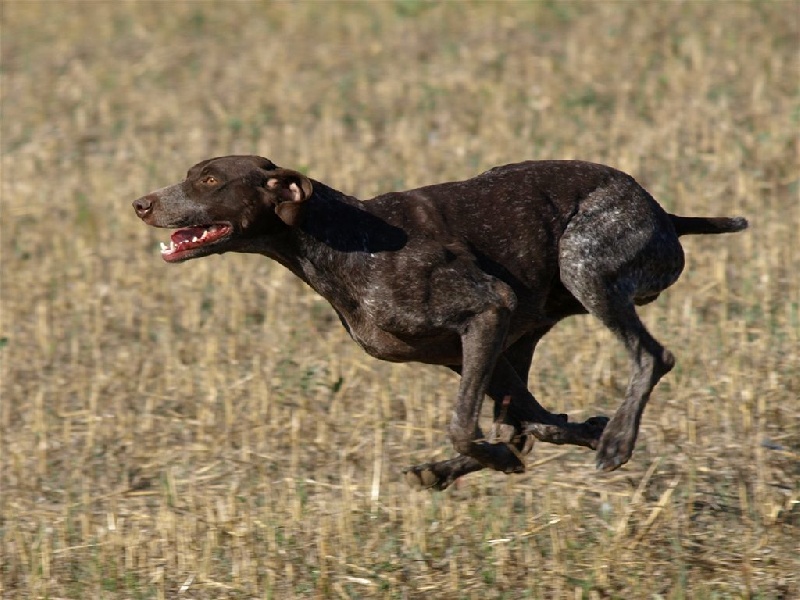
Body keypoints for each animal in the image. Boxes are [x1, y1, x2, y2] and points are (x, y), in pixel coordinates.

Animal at [133, 156, 747, 489]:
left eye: (209, 181)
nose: (141, 203)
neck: (339, 238)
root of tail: (663, 213)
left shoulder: (488, 311)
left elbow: (466, 426)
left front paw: (502, 456)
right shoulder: (468, 351)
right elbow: (524, 423)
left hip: (584, 264)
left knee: (652, 355)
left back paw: (616, 441)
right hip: (530, 327)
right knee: (530, 418)